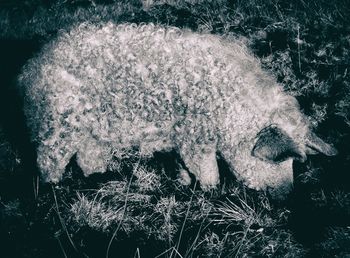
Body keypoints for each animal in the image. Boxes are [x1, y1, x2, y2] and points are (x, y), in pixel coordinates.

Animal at [17, 22, 338, 199]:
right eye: (280, 160)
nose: (287, 196)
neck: (230, 107)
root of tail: (34, 65)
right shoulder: (195, 135)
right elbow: (206, 170)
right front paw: (212, 192)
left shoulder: (182, 136)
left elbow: (185, 166)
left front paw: (184, 184)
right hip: (58, 121)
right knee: (50, 156)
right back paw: (54, 189)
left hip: (92, 128)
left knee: (88, 155)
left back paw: (101, 178)